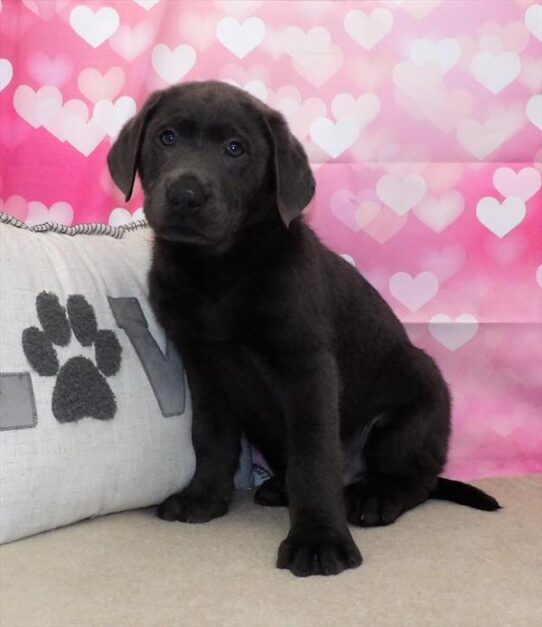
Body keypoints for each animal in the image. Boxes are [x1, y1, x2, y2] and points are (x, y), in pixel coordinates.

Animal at [108, 81, 504, 576]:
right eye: (166, 137)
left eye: (235, 149)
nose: (185, 194)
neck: (218, 271)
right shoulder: (203, 365)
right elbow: (211, 438)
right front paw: (204, 498)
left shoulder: (306, 366)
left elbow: (314, 457)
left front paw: (318, 539)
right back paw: (281, 488)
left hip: (417, 404)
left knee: (417, 478)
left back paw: (374, 498)